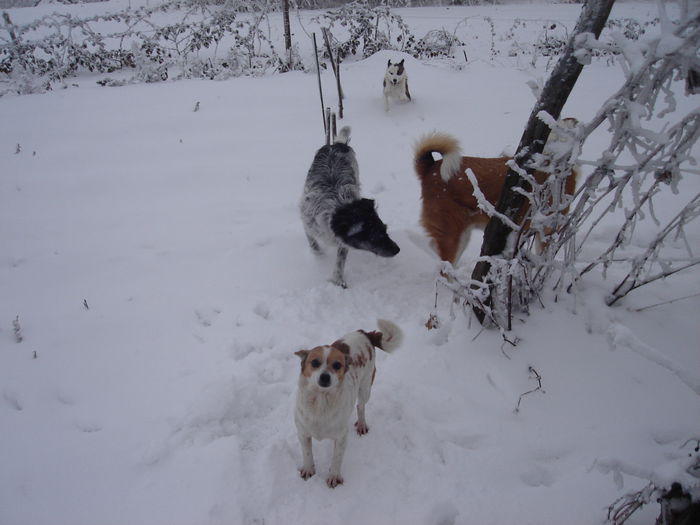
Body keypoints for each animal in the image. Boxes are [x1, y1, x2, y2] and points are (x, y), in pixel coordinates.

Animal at [300, 126, 400, 286]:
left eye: (385, 229)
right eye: (373, 237)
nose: (397, 250)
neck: (338, 207)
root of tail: (337, 144)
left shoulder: (342, 242)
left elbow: (340, 262)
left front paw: (338, 280)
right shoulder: (307, 222)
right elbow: (314, 245)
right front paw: (320, 260)